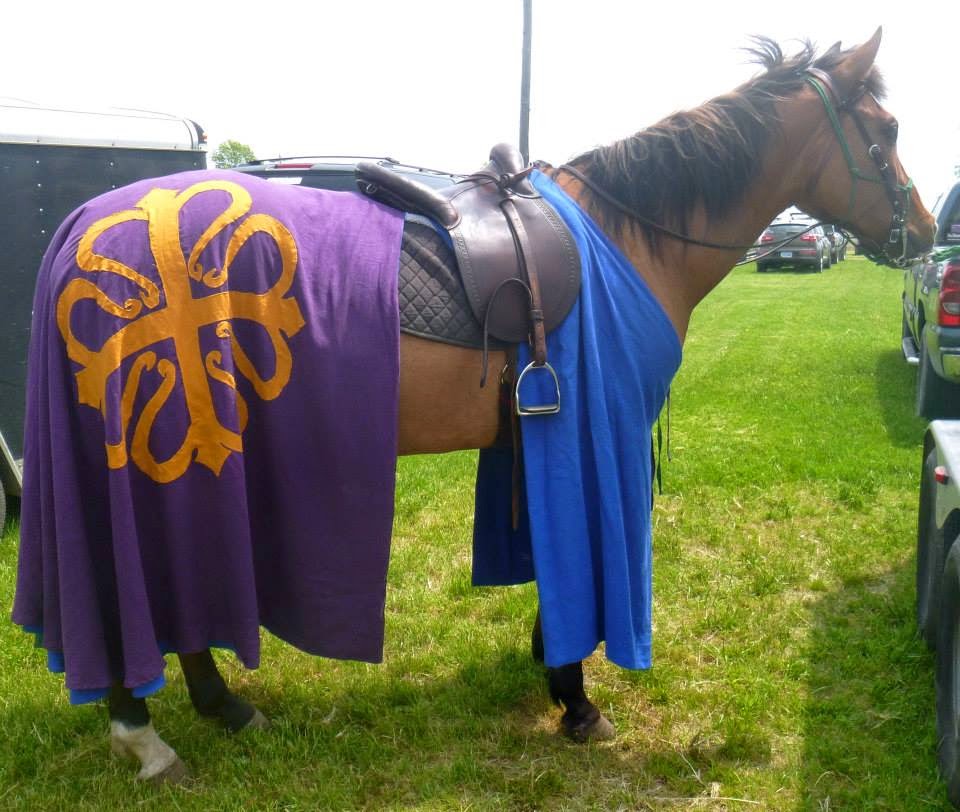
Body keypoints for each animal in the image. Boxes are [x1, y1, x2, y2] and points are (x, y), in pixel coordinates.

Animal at [11, 27, 932, 788]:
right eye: (885, 133)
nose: (922, 235)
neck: (630, 235)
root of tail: (84, 224)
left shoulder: (534, 444)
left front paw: (551, 665)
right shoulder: (596, 436)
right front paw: (578, 699)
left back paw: (224, 709)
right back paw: (145, 734)